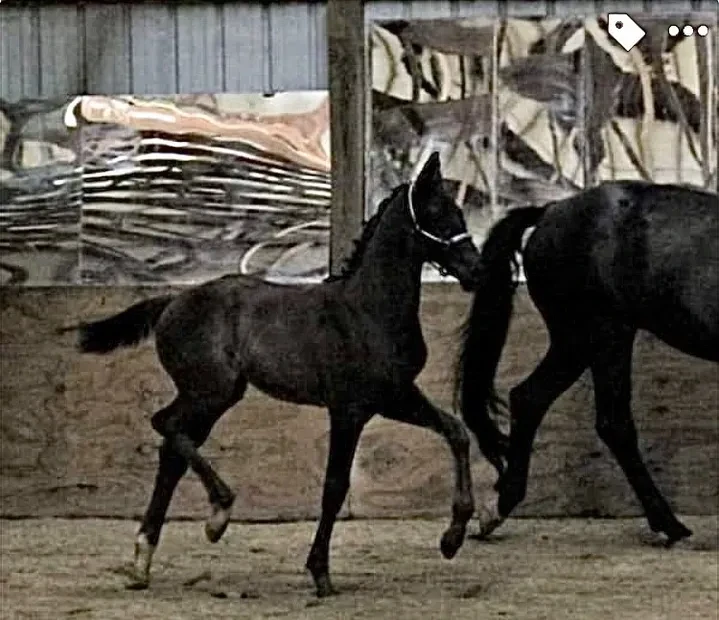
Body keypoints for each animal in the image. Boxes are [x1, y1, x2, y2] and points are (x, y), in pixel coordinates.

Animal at [68, 153, 483, 597]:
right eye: (437, 214)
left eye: (459, 213)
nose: (476, 272)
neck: (368, 310)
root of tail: (172, 300)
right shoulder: (349, 409)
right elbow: (335, 486)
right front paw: (320, 573)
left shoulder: (394, 396)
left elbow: (456, 431)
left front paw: (452, 538)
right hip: (210, 391)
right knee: (164, 424)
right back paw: (218, 514)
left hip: (216, 396)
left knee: (171, 453)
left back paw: (144, 561)